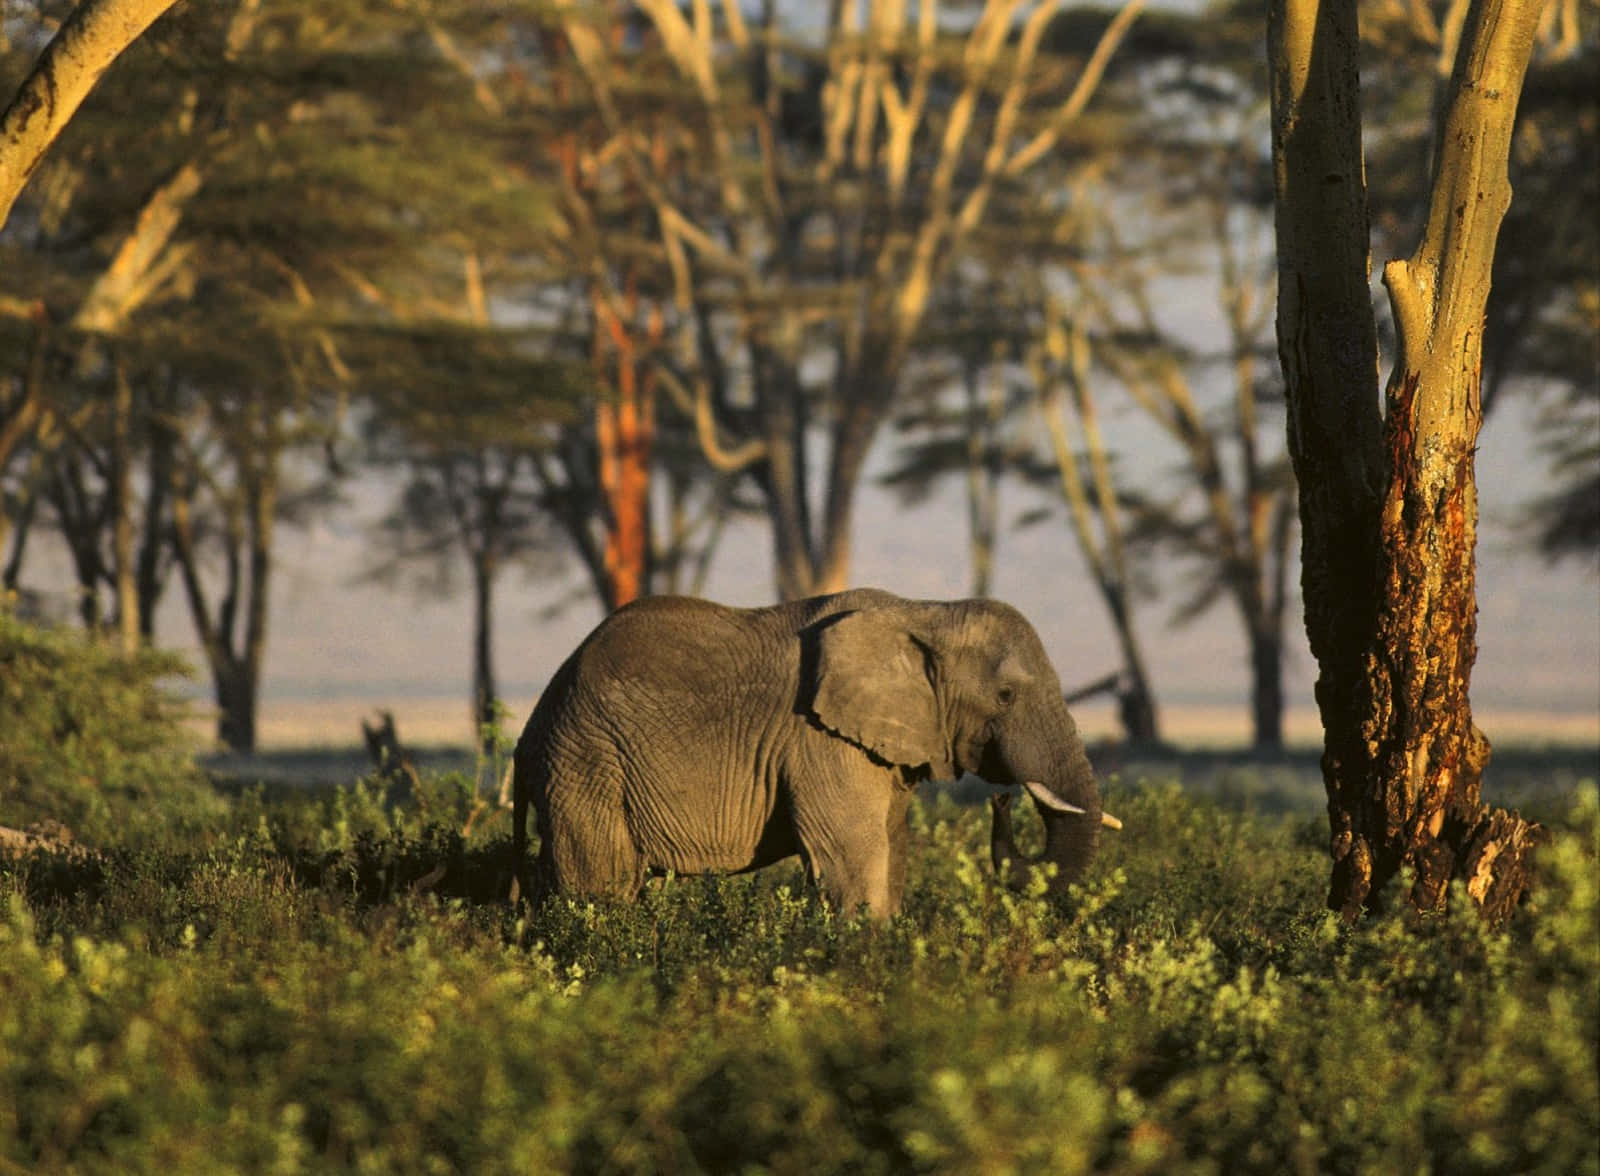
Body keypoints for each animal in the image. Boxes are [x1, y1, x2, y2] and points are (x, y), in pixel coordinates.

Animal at [510, 588, 1122, 918]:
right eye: (1006, 695)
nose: (1001, 802)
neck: (924, 613)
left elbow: (890, 853)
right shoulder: (820, 740)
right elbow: (855, 860)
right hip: (587, 759)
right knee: (601, 885)